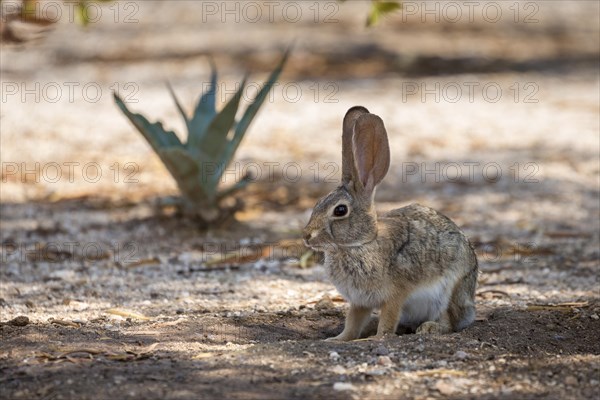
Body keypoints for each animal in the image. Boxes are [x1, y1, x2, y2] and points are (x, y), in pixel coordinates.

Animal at [304, 106, 478, 340]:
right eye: (317, 203)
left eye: (340, 210)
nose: (306, 236)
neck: (361, 244)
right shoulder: (360, 301)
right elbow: (352, 322)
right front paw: (338, 339)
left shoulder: (396, 293)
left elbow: (388, 319)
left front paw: (377, 338)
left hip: (449, 291)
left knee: (449, 321)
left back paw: (430, 328)